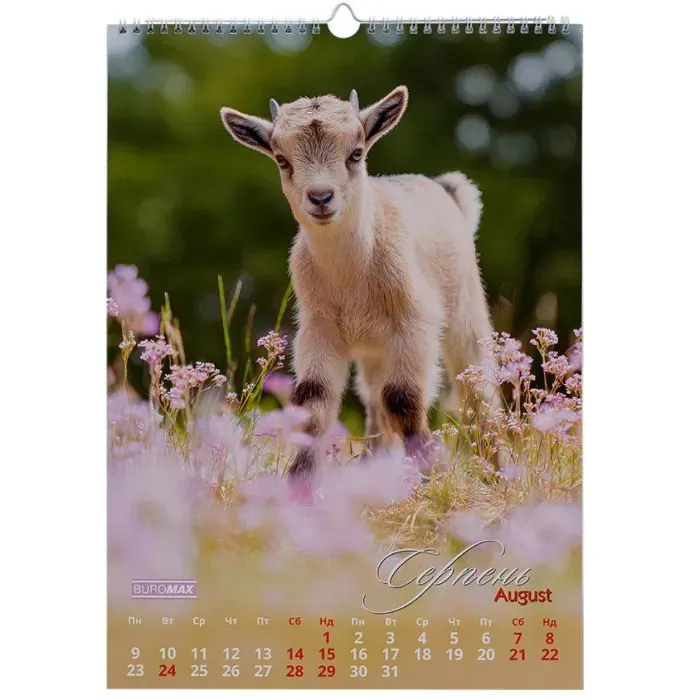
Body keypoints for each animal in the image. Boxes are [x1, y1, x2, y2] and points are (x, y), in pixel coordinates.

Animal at [221, 86, 499, 478]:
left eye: (356, 153)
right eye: (282, 160)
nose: (321, 198)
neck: (351, 280)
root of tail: (450, 192)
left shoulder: (413, 324)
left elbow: (402, 397)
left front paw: (434, 470)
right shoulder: (319, 329)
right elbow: (314, 402)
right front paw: (298, 481)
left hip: (465, 309)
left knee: (477, 390)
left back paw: (495, 470)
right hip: (374, 350)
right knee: (374, 399)